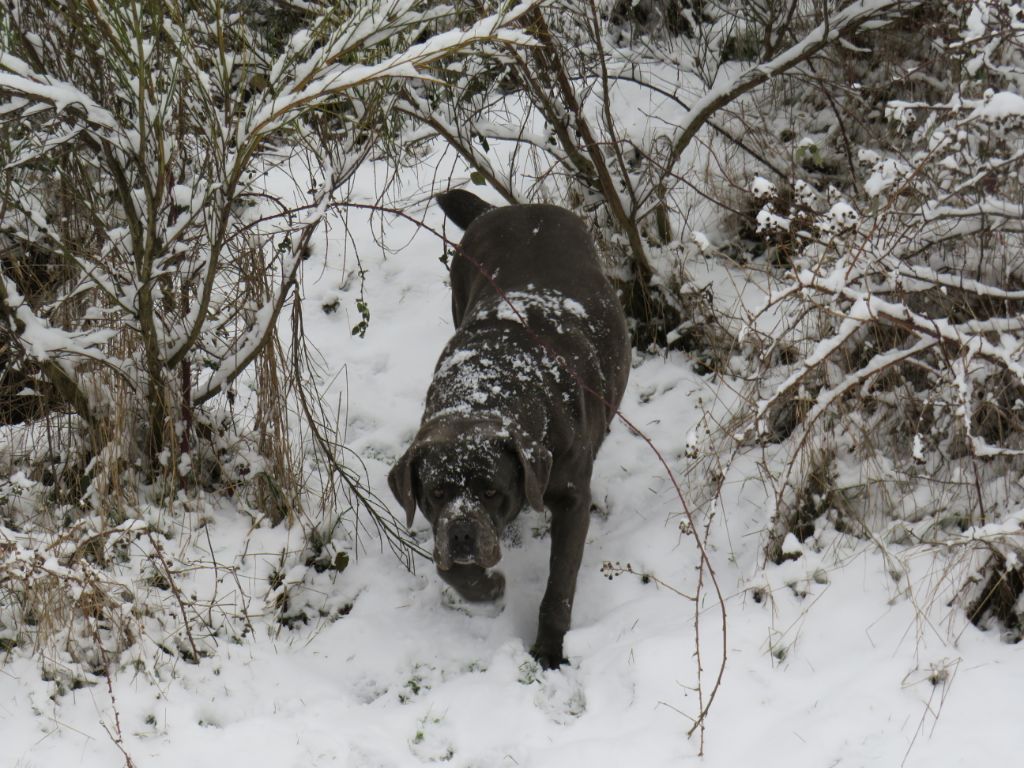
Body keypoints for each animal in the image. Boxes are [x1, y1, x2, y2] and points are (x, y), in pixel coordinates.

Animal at [389, 188, 630, 667]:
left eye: (490, 490)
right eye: (436, 493)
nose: (462, 532)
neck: (490, 386)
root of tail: (508, 207)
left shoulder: (572, 500)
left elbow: (560, 584)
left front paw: (550, 648)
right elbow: (453, 570)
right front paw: (487, 588)